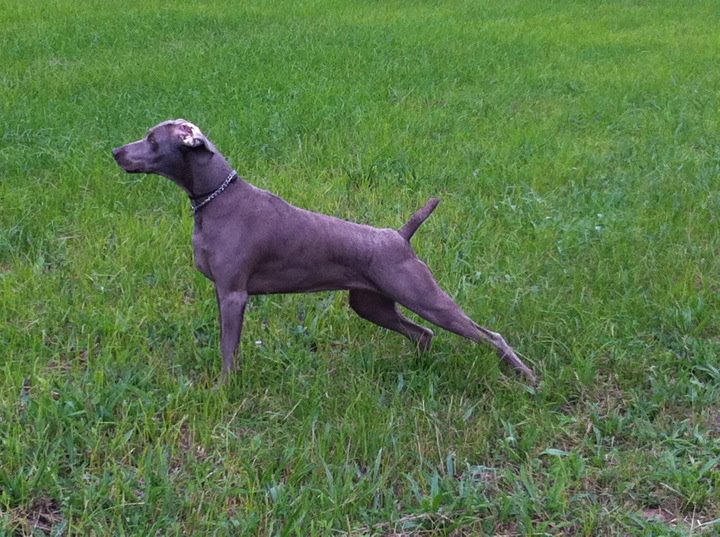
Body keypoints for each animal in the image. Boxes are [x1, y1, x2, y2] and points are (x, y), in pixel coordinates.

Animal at [112, 119, 536, 384]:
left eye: (151, 138)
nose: (115, 151)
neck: (216, 197)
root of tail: (400, 236)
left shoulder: (233, 294)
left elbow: (228, 350)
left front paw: (222, 390)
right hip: (370, 304)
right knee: (422, 334)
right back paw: (419, 371)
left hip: (424, 295)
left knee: (489, 335)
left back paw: (527, 377)